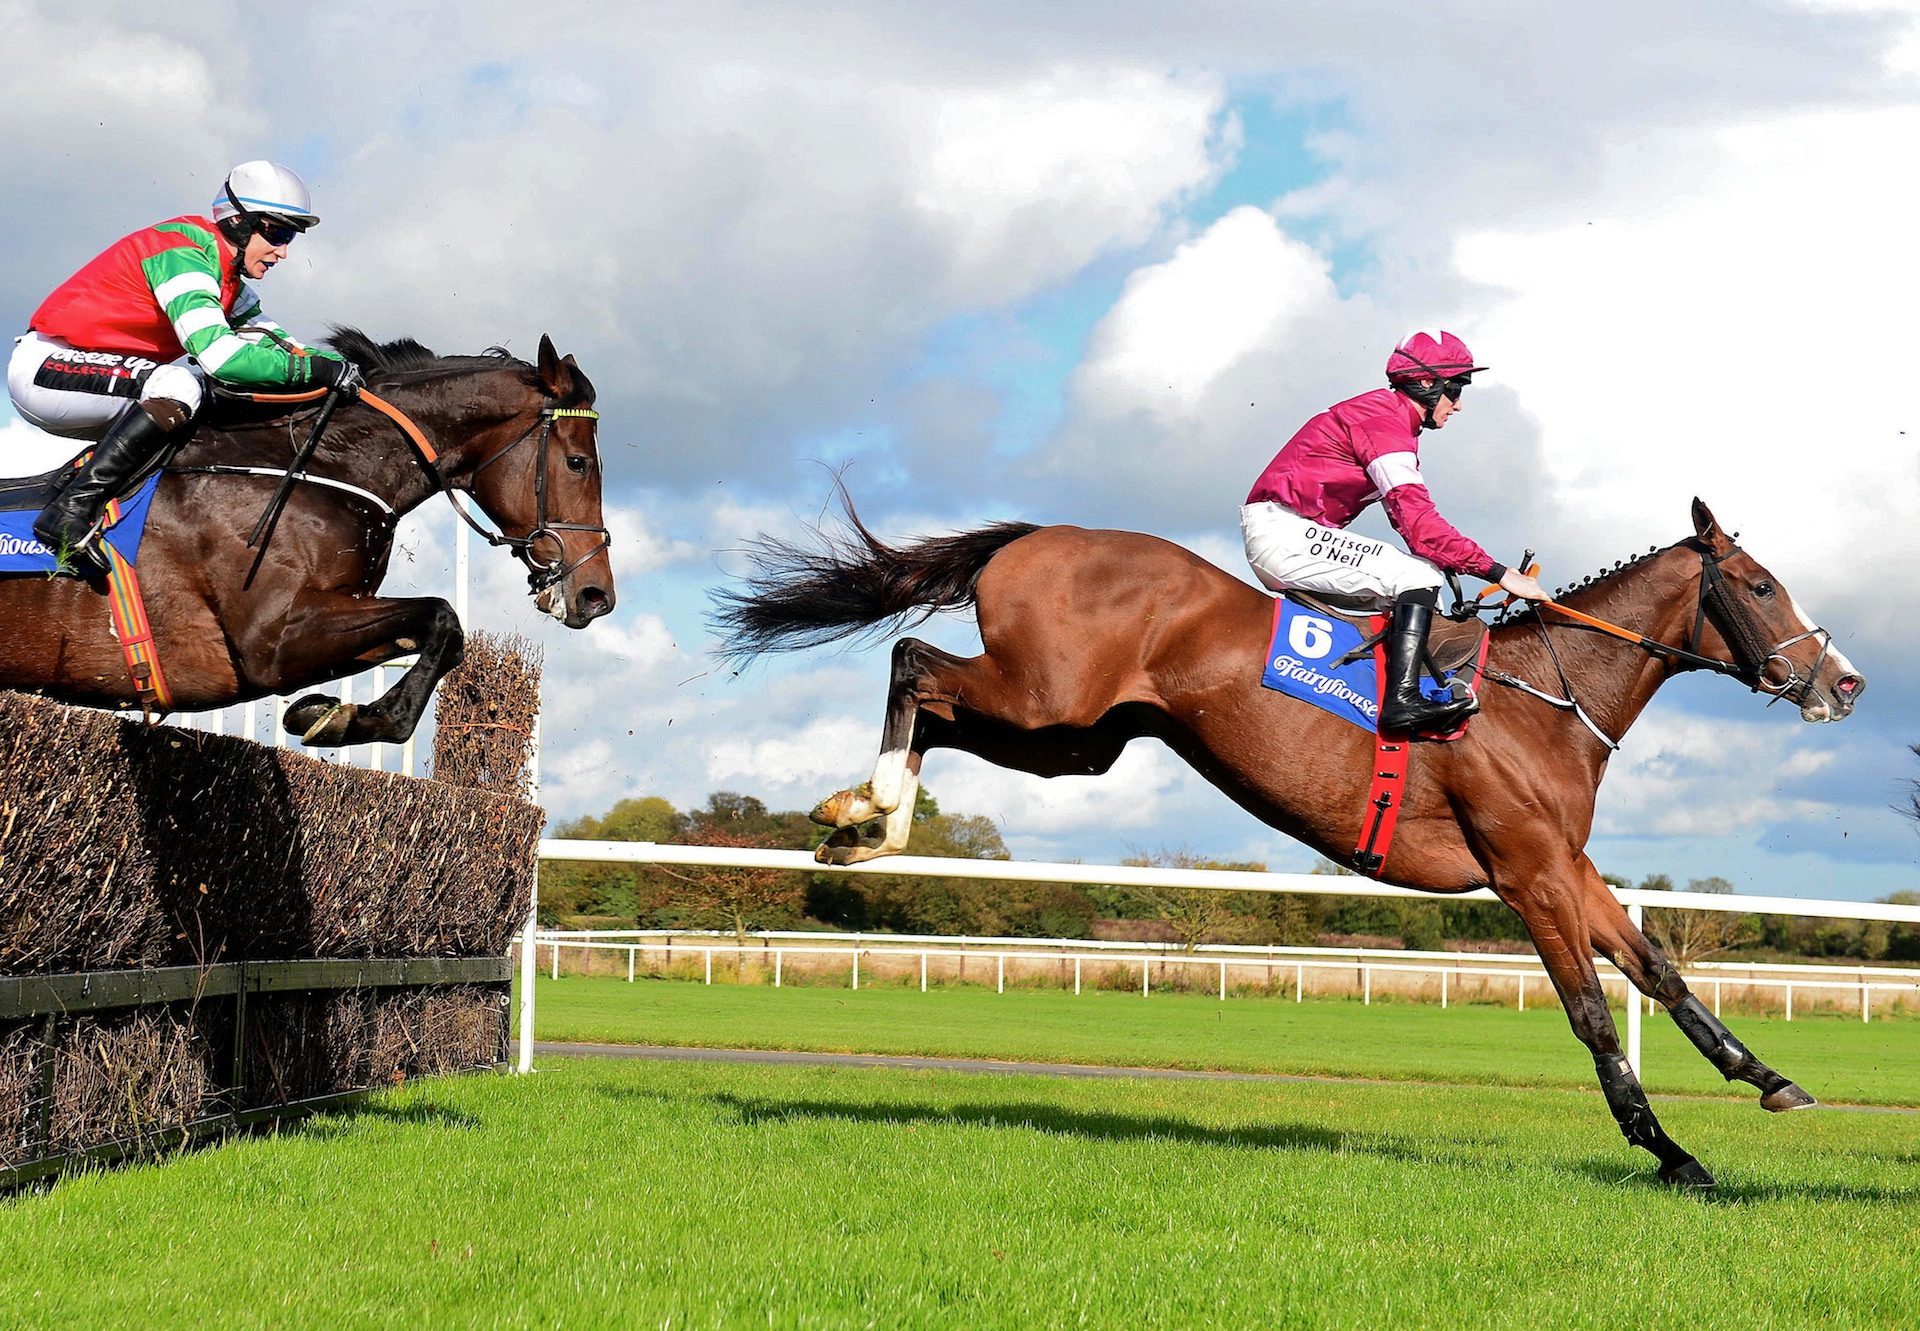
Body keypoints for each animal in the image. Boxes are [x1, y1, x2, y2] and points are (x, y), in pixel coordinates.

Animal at [0, 330, 614, 749]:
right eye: (578, 463)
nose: (596, 596)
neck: (319, 467)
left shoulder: (332, 615)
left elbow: (437, 635)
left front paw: (323, 711)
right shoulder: (270, 641)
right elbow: (442, 618)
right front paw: (348, 718)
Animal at [718, 495, 1858, 1183]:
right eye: (1760, 585)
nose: (1843, 681)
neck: (1541, 693)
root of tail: (1036, 535)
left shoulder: (1565, 864)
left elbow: (1658, 969)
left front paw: (1767, 1078)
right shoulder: (1526, 871)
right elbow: (1589, 1009)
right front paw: (1668, 1149)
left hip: (1081, 737)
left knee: (938, 696)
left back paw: (860, 822)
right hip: (1048, 695)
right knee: (914, 658)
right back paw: (868, 810)